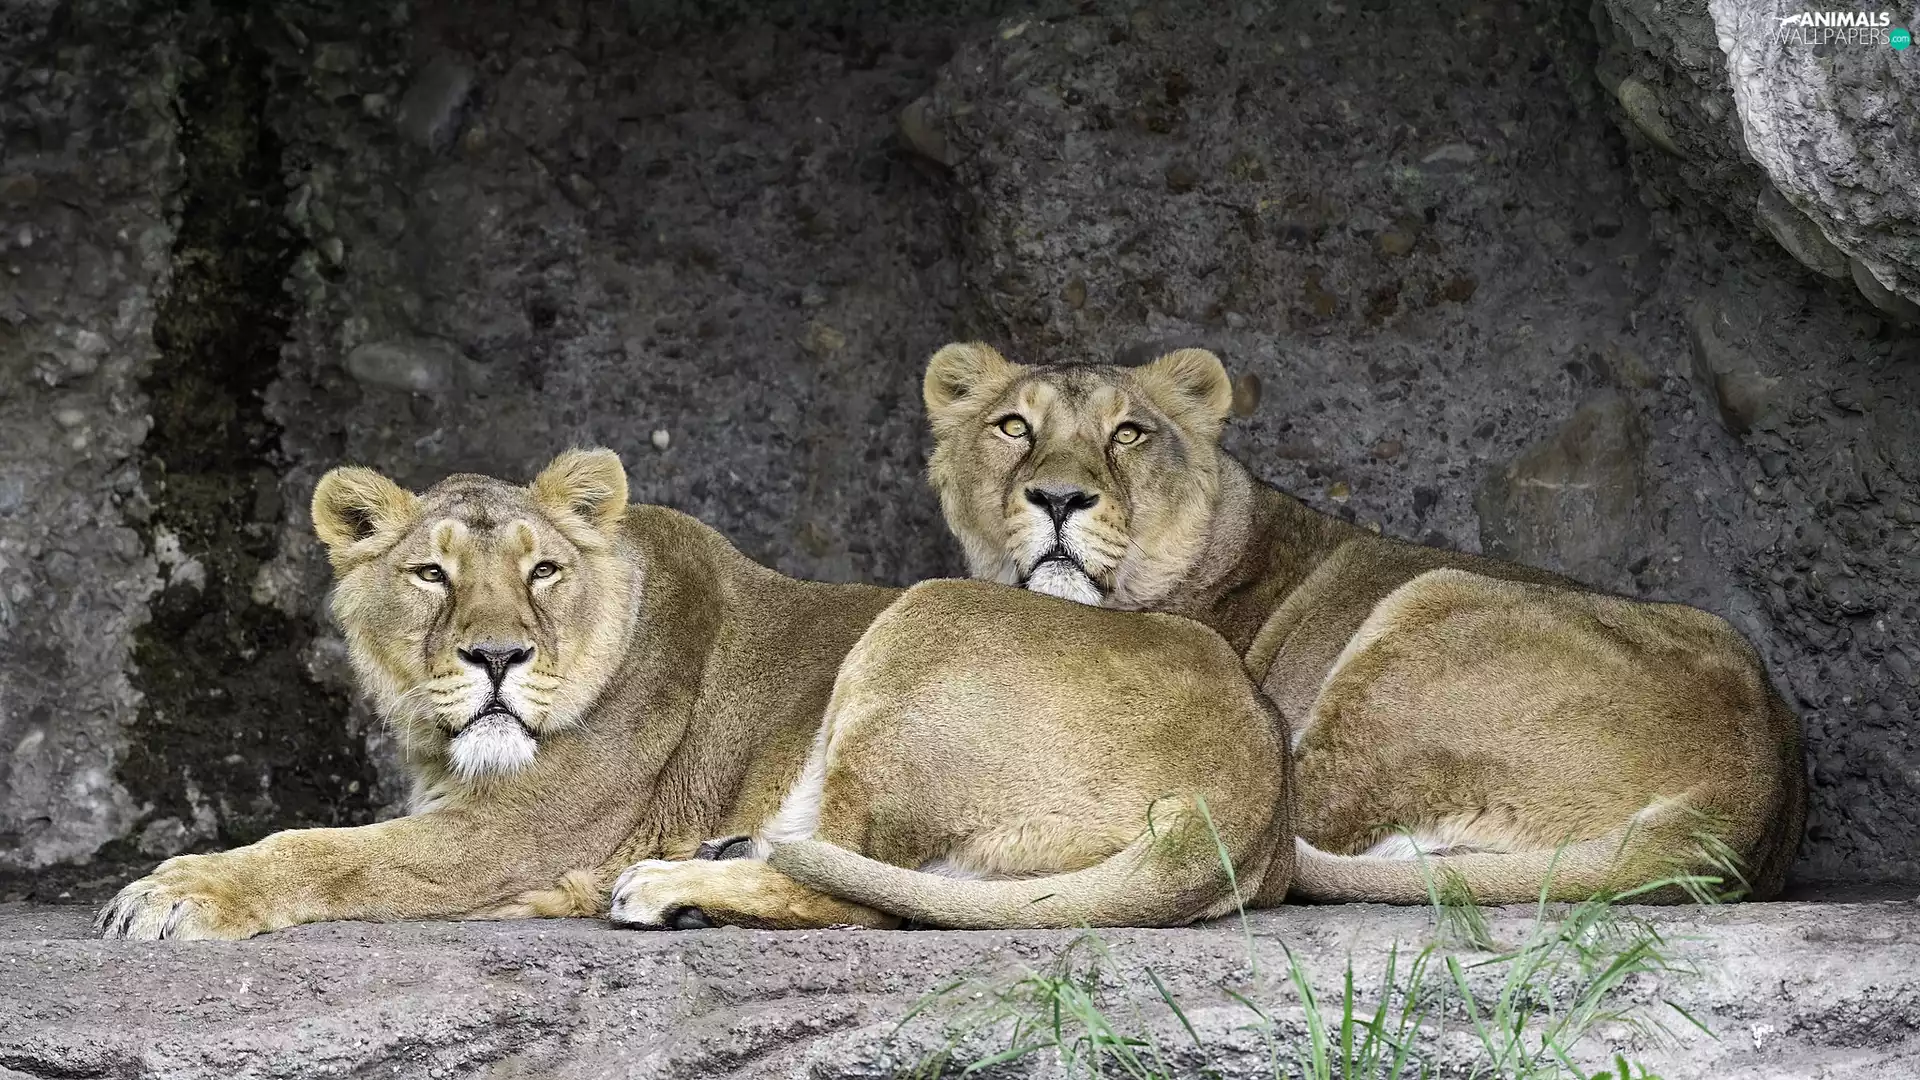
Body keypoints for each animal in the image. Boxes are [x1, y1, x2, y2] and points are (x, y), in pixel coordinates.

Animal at [97, 449, 1331, 940]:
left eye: (543, 571)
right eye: (431, 575)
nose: (496, 659)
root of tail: (1255, 788)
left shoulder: (505, 837)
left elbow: (322, 850)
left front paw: (176, 894)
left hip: (922, 623)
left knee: (868, 895)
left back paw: (668, 888)